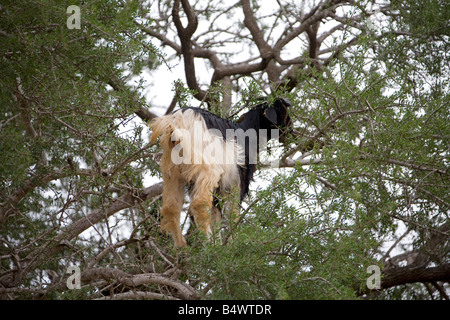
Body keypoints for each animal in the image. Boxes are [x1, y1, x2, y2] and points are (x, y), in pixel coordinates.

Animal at [149, 97, 294, 248]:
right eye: (282, 111)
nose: (291, 130)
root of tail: (179, 119)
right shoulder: (237, 181)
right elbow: (233, 213)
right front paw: (231, 244)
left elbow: (216, 216)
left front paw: (219, 244)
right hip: (207, 167)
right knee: (199, 203)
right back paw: (208, 245)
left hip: (173, 172)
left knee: (171, 207)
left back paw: (182, 247)